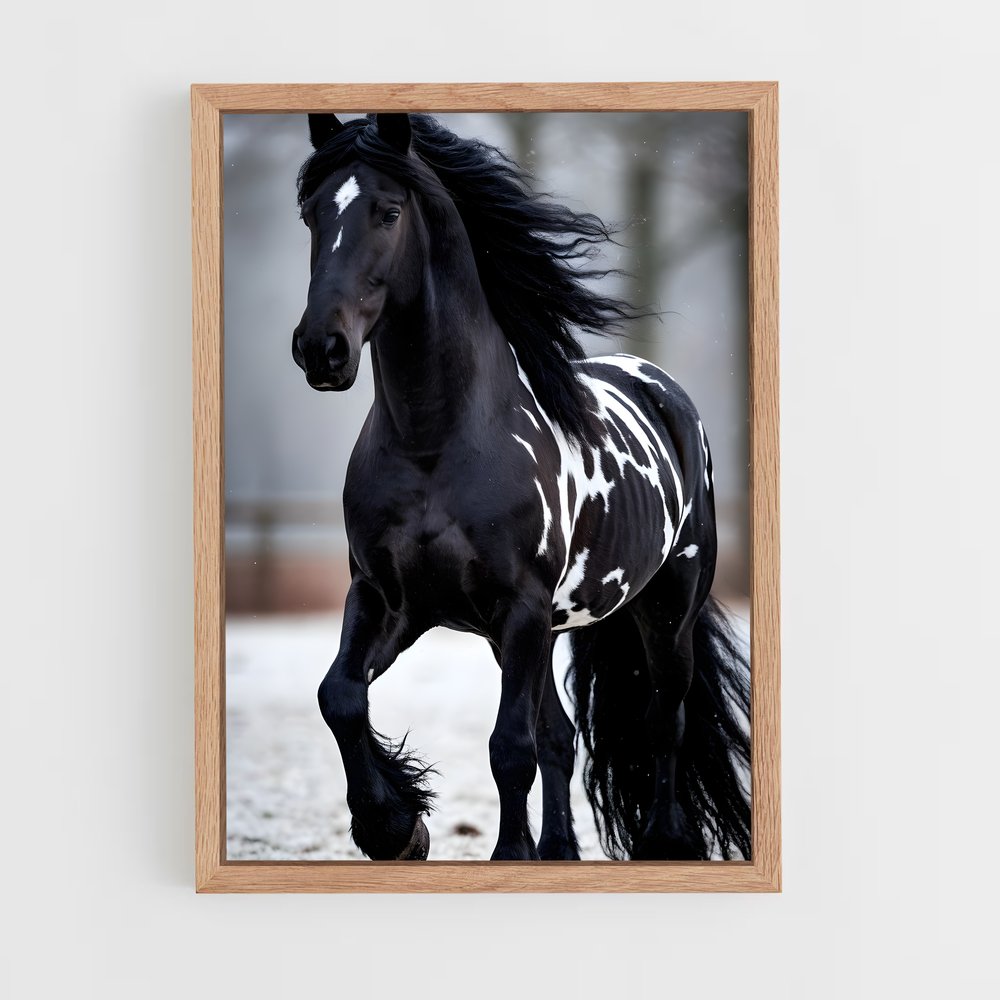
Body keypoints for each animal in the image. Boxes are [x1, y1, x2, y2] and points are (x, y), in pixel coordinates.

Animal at [290, 112, 750, 861]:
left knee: (665, 719)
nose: (321, 349)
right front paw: (394, 826)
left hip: (665, 608)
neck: (436, 444)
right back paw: (560, 849)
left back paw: (664, 841)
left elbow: (510, 747)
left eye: (388, 211)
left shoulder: (521, 607)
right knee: (562, 734)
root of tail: (667, 395)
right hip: (535, 631)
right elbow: (341, 696)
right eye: (310, 213)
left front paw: (506, 853)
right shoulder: (390, 599)